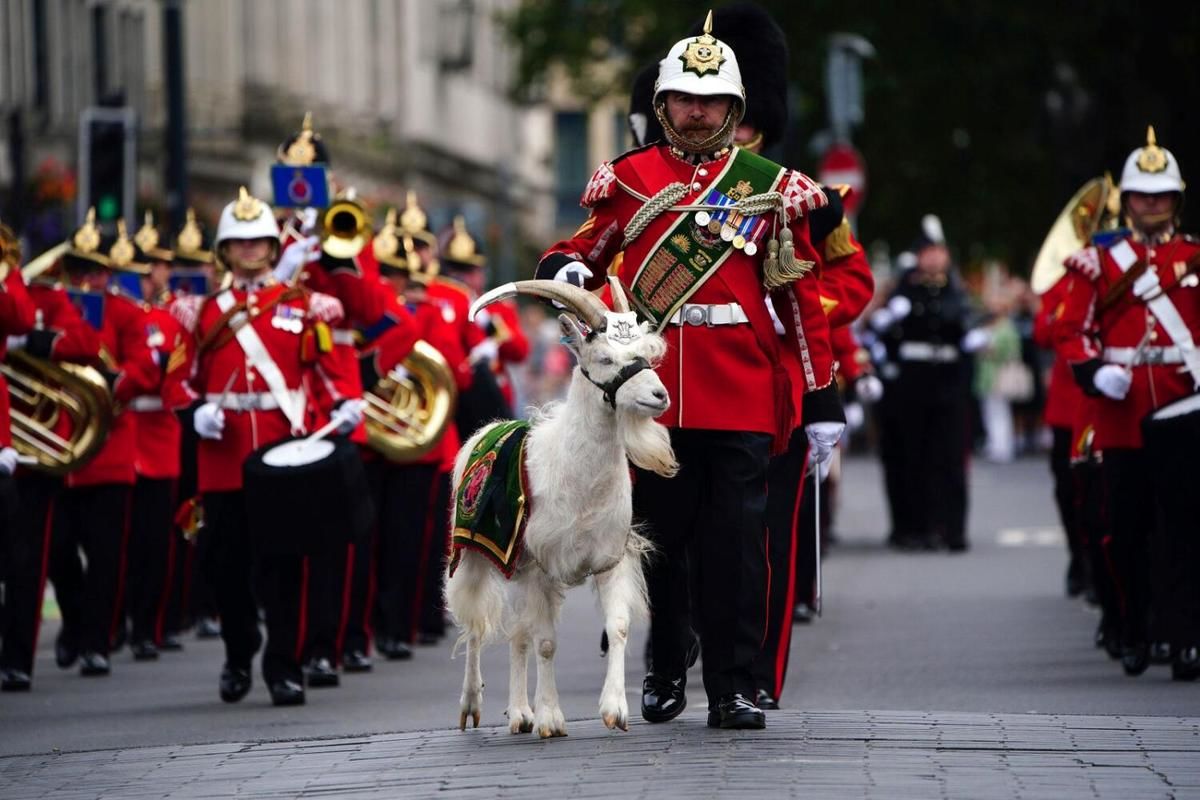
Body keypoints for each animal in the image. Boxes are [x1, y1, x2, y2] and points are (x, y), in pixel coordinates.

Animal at [448, 277, 681, 738]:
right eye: (605, 358)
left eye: (646, 355)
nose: (659, 395)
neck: (576, 477)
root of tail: (488, 429)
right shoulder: (540, 566)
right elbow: (546, 642)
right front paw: (551, 719)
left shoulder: (608, 560)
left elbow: (617, 627)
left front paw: (615, 710)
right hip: (475, 555)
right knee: (476, 625)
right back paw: (471, 706)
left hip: (514, 568)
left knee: (517, 634)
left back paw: (519, 714)